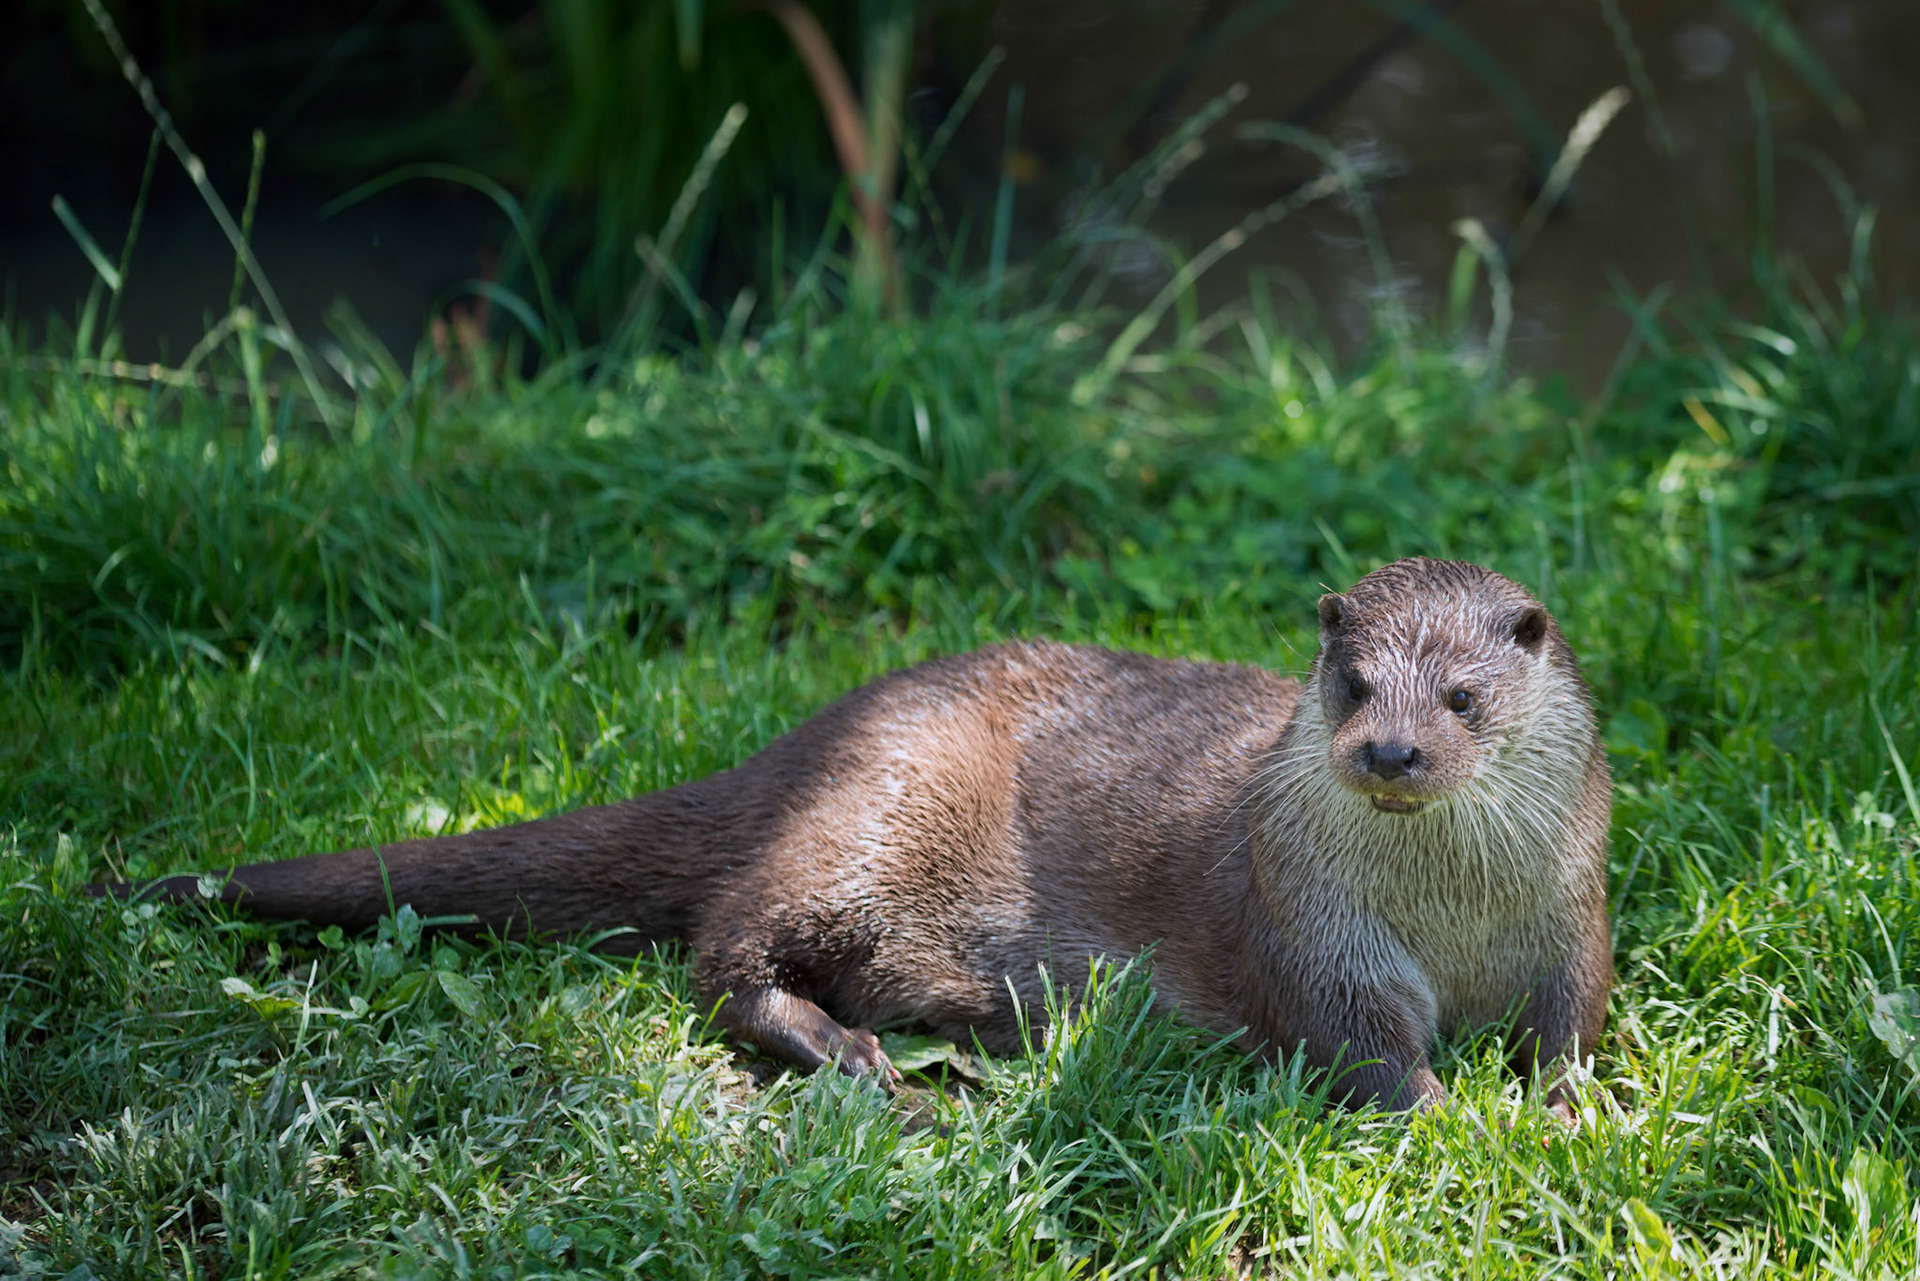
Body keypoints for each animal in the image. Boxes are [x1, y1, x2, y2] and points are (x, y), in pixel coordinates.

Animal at [96, 558, 1612, 1113]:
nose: (1393, 750)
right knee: (723, 957)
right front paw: (1462, 1116)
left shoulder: (1572, 915)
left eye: (1463, 696)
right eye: (1352, 684)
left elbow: (1575, 1017)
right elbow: (1363, 1050)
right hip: (869, 821)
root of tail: (812, 736)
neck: (1450, 916)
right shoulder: (1315, 933)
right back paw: (854, 1058)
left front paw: (1569, 1100)